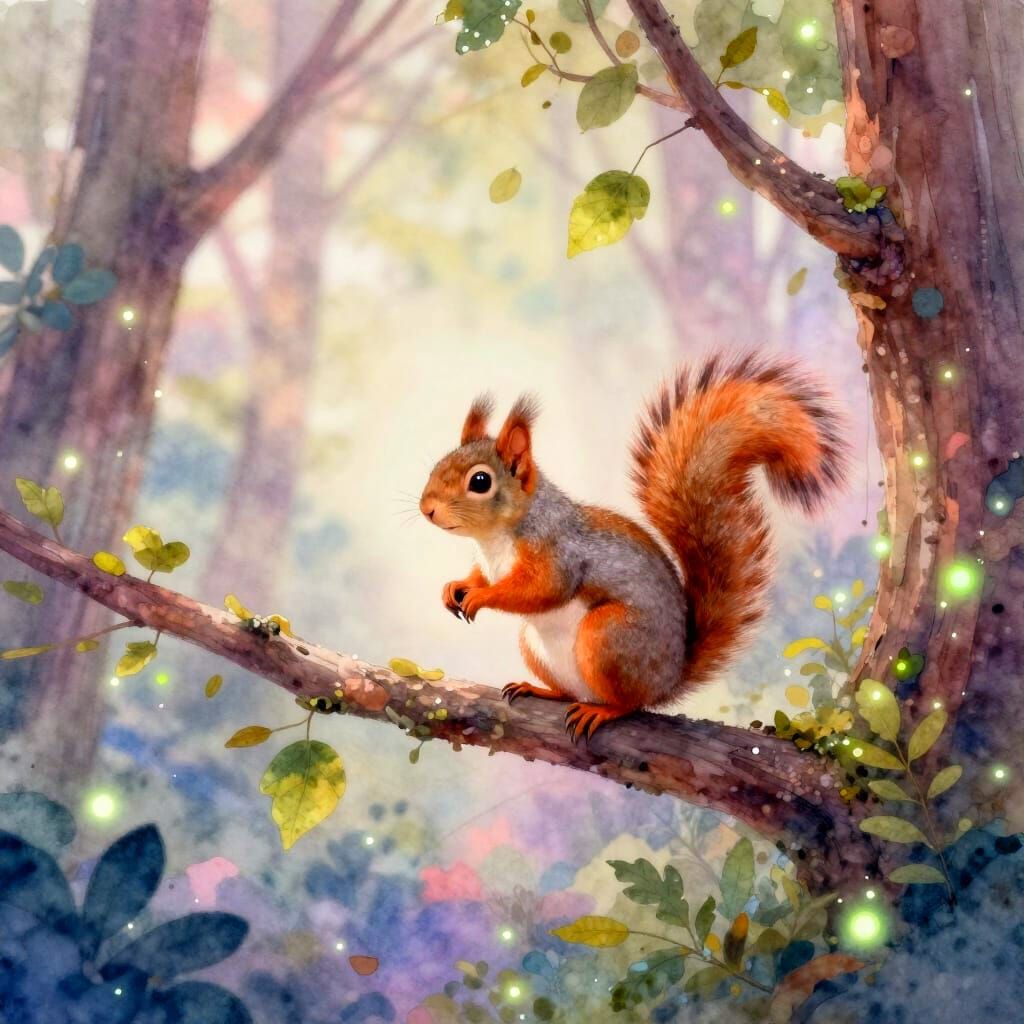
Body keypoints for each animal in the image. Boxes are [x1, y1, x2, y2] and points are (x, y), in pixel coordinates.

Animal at [419, 352, 848, 742]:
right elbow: (478, 575)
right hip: (537, 646)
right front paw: (455, 587)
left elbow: (541, 590)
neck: (494, 539)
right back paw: (539, 689)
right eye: (437, 465)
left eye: (480, 481)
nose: (427, 509)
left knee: (629, 703)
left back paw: (602, 710)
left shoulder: (557, 551)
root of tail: (669, 680)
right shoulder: (487, 560)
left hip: (607, 637)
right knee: (568, 692)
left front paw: (482, 596)